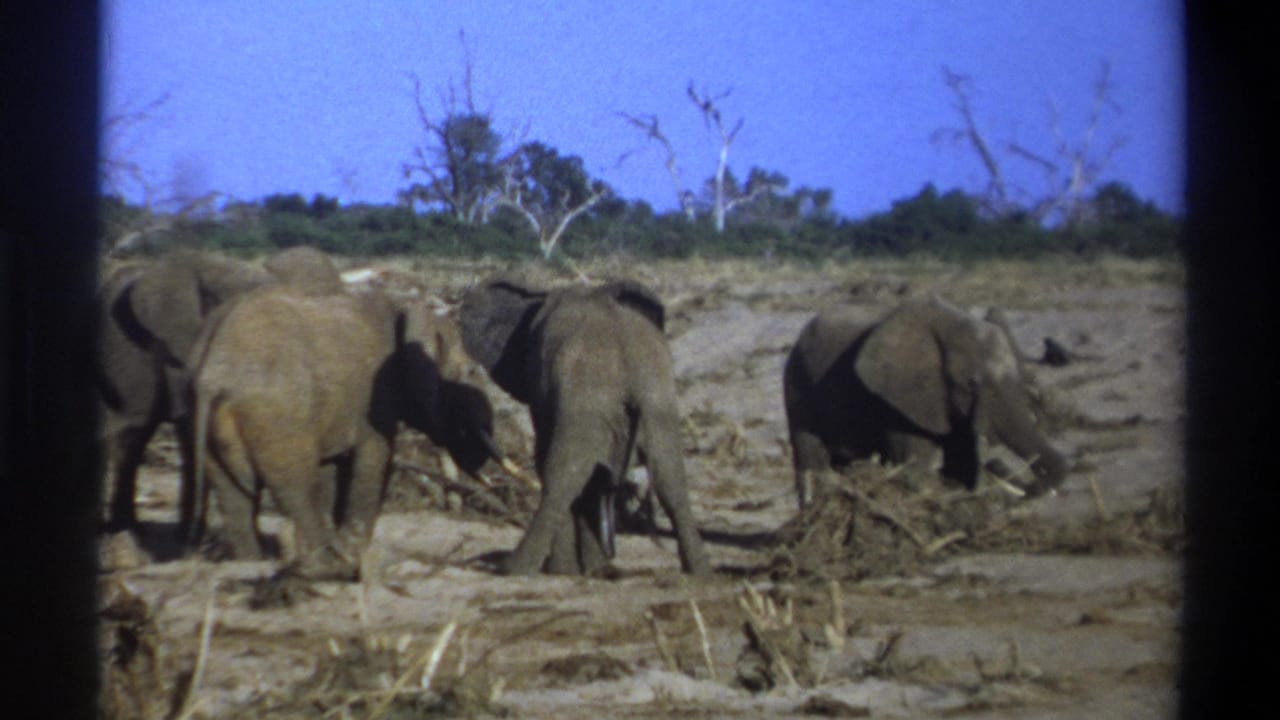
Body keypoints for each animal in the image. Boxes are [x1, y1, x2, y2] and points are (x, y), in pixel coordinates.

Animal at [188, 284, 508, 581]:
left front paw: (347, 547)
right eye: (471, 372)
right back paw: (329, 566)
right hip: (278, 415)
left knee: (233, 494)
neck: (407, 305)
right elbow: (374, 460)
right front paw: (354, 552)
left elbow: (335, 468)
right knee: (297, 485)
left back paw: (251, 562)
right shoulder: (376, 398)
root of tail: (214, 372)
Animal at [459, 274, 712, 577]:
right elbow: (601, 475)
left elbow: (550, 459)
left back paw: (518, 568)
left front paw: (570, 570)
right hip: (656, 399)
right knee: (670, 478)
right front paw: (594, 569)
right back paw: (699, 571)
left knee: (563, 475)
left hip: (590, 399)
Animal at [783, 296, 1068, 510]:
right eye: (971, 384)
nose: (995, 464)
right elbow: (914, 463)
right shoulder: (898, 398)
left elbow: (961, 461)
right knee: (811, 457)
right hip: (797, 388)